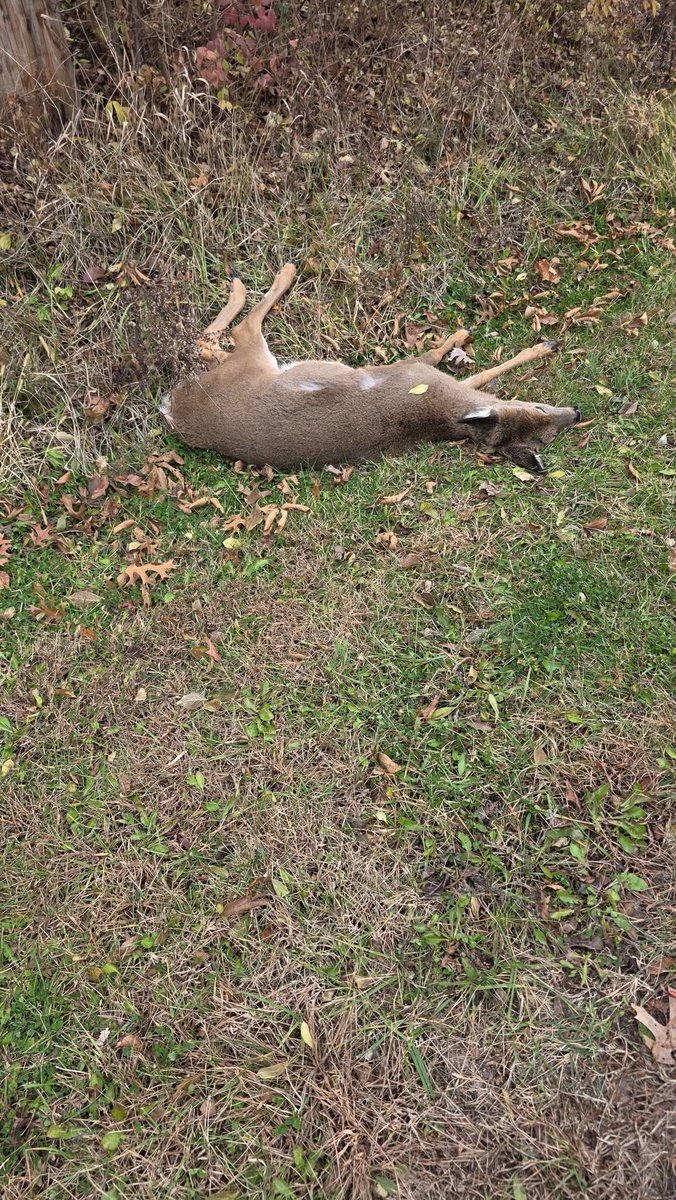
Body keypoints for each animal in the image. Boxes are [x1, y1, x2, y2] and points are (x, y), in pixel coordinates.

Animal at [162, 263, 581, 472]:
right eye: (539, 407)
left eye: (544, 439)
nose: (576, 412)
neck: (438, 414)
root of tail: (173, 409)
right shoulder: (414, 368)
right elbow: (444, 356)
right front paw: (467, 333)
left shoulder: (421, 375)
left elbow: (474, 372)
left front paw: (542, 344)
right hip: (251, 360)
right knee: (231, 331)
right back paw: (277, 272)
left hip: (245, 364)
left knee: (214, 341)